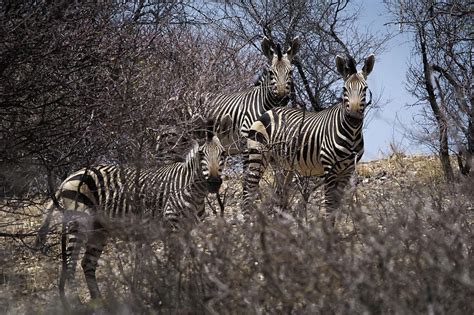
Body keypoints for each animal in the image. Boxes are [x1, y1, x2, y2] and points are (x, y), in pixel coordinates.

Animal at [34, 118, 227, 304]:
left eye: (223, 154)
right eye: (201, 154)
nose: (214, 182)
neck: (192, 190)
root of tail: (68, 177)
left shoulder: (188, 230)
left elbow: (190, 260)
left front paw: (193, 289)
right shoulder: (172, 228)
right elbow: (174, 263)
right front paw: (175, 294)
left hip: (99, 230)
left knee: (87, 263)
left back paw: (99, 302)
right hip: (79, 221)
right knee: (71, 263)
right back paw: (78, 304)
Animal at [243, 55, 376, 227]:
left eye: (364, 89)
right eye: (344, 89)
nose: (353, 117)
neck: (351, 133)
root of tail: (269, 111)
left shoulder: (347, 170)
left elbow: (337, 204)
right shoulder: (330, 168)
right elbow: (329, 204)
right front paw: (328, 231)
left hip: (280, 163)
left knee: (279, 192)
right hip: (257, 155)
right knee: (249, 190)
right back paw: (247, 227)